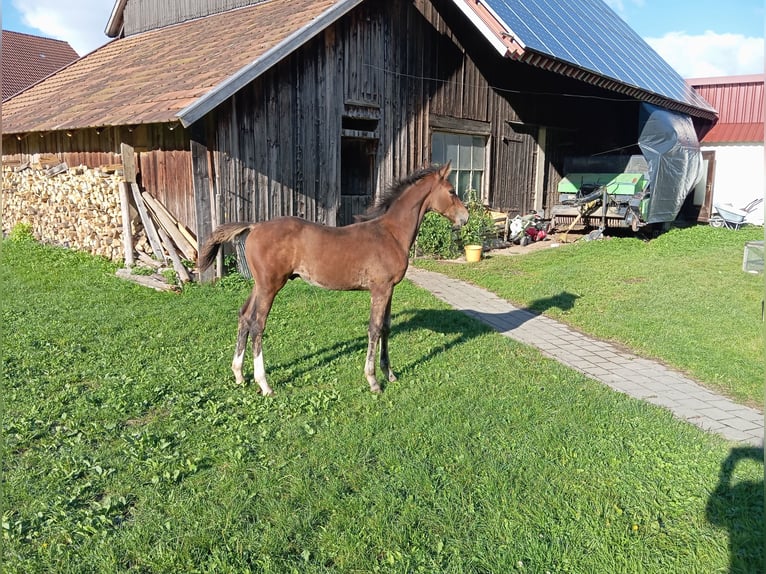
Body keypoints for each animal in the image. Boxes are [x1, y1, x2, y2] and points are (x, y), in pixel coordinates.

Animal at [198, 162, 468, 396]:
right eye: (451, 191)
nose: (465, 218)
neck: (390, 233)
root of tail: (255, 226)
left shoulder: (390, 289)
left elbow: (386, 328)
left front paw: (390, 374)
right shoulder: (379, 289)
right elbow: (374, 329)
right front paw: (373, 381)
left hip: (260, 285)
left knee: (244, 317)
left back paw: (239, 374)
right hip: (270, 286)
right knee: (257, 325)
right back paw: (264, 384)